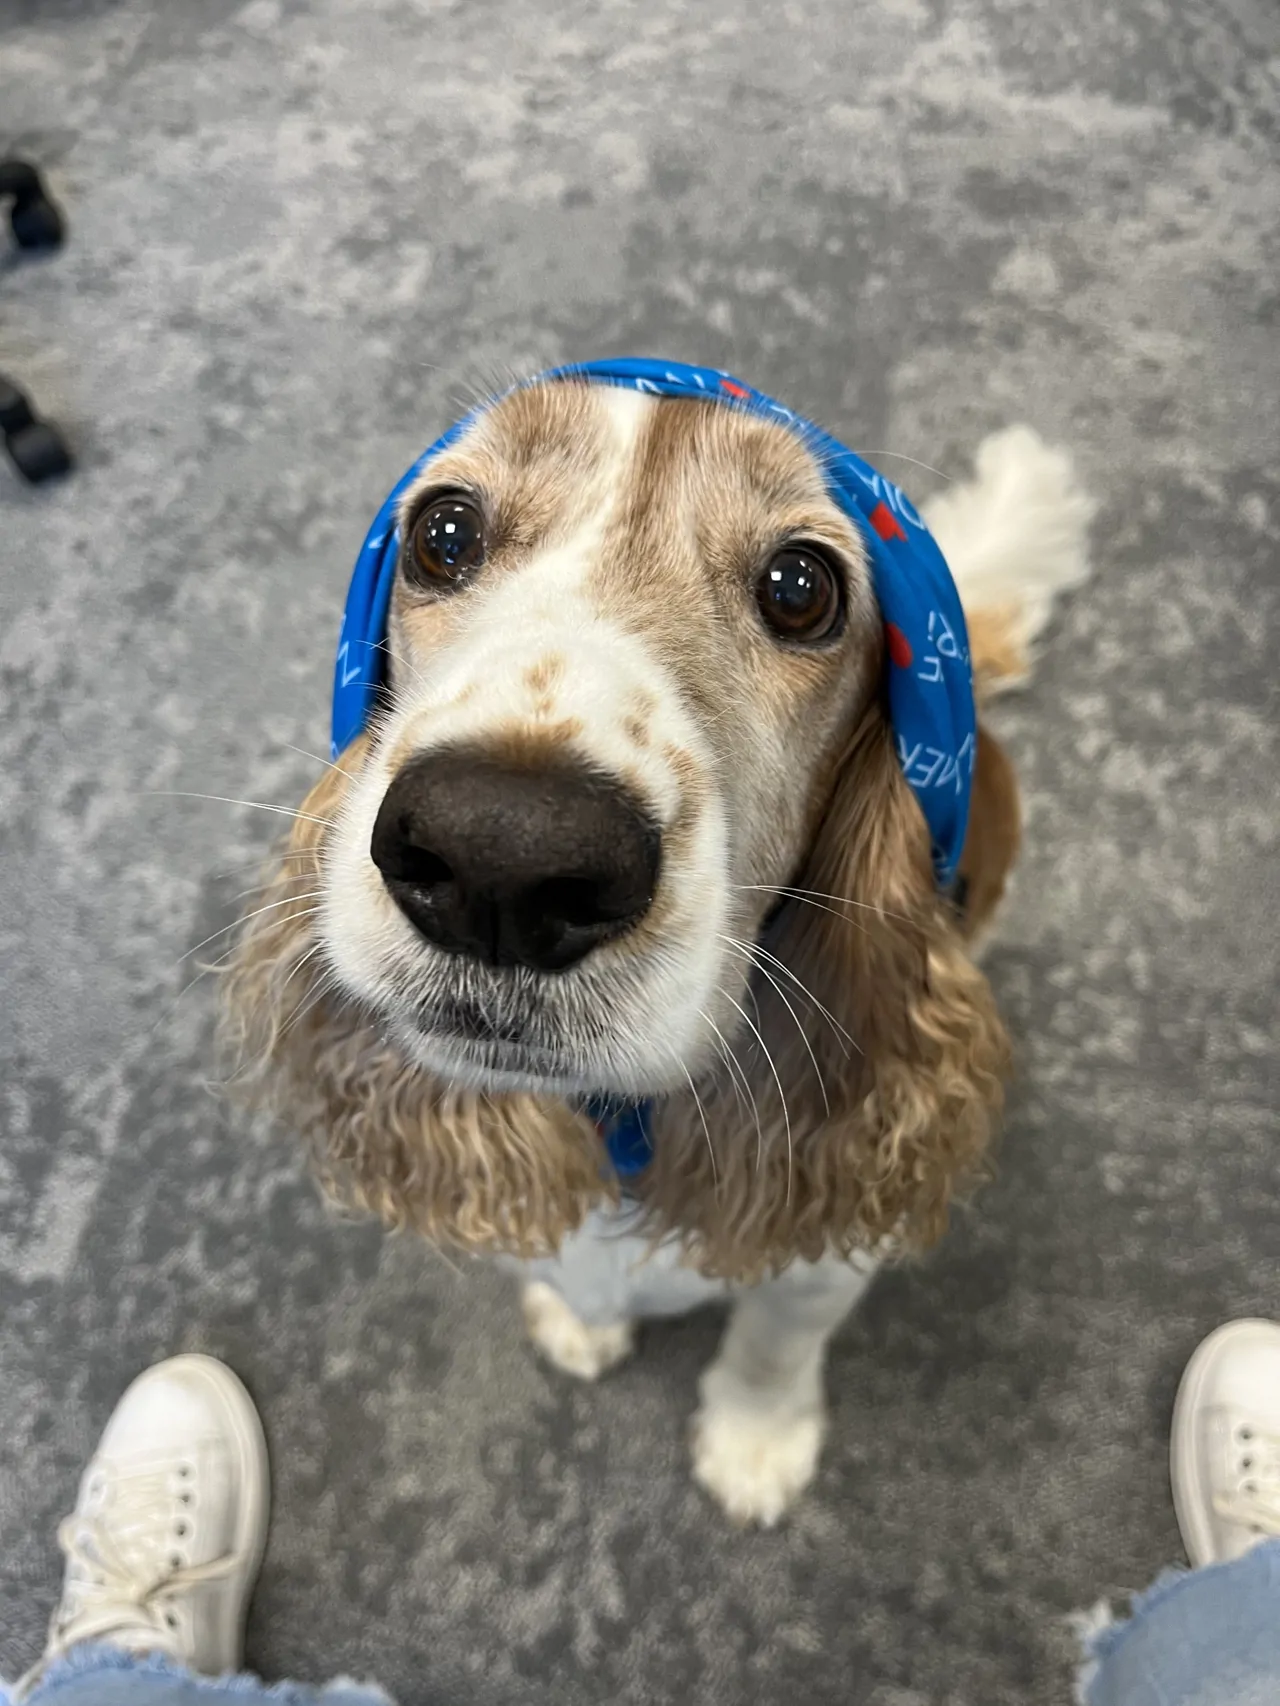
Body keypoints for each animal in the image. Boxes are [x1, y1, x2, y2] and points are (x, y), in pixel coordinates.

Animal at [223, 356, 1092, 1521]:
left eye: (801, 587)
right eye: (443, 533)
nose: (501, 854)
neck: (618, 1120)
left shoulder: (819, 1261)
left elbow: (771, 1345)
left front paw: (755, 1444)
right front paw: (579, 1321)